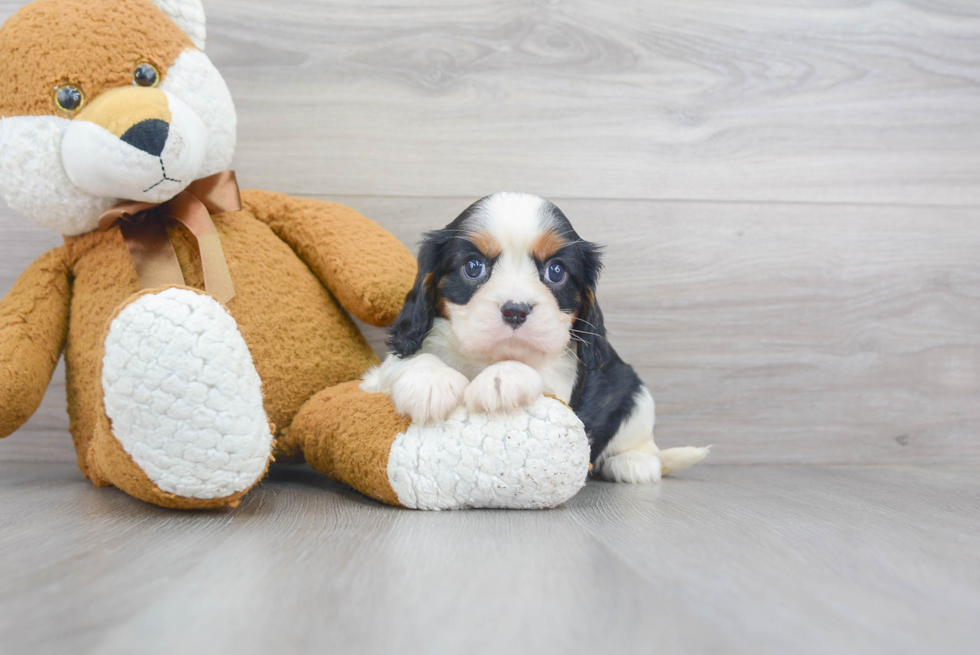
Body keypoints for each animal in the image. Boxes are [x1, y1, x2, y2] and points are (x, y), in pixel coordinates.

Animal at [364, 192, 708, 484]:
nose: (515, 310)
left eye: (556, 272)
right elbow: (410, 360)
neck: (485, 358)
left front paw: (502, 378)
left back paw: (633, 463)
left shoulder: (564, 382)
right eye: (473, 267)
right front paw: (430, 381)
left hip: (634, 393)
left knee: (642, 440)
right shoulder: (384, 370)